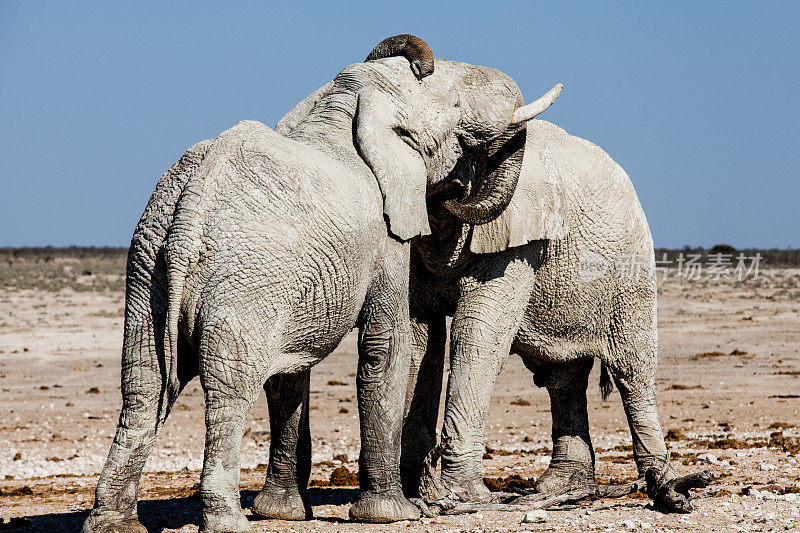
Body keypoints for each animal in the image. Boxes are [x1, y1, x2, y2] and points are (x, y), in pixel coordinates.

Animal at [83, 34, 564, 532]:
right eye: (455, 110)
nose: (456, 188)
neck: (348, 104)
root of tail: (191, 207)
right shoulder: (385, 235)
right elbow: (387, 348)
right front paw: (392, 515)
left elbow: (288, 374)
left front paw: (283, 513)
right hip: (241, 279)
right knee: (228, 392)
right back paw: (227, 522)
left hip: (148, 269)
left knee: (142, 385)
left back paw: (113, 524)